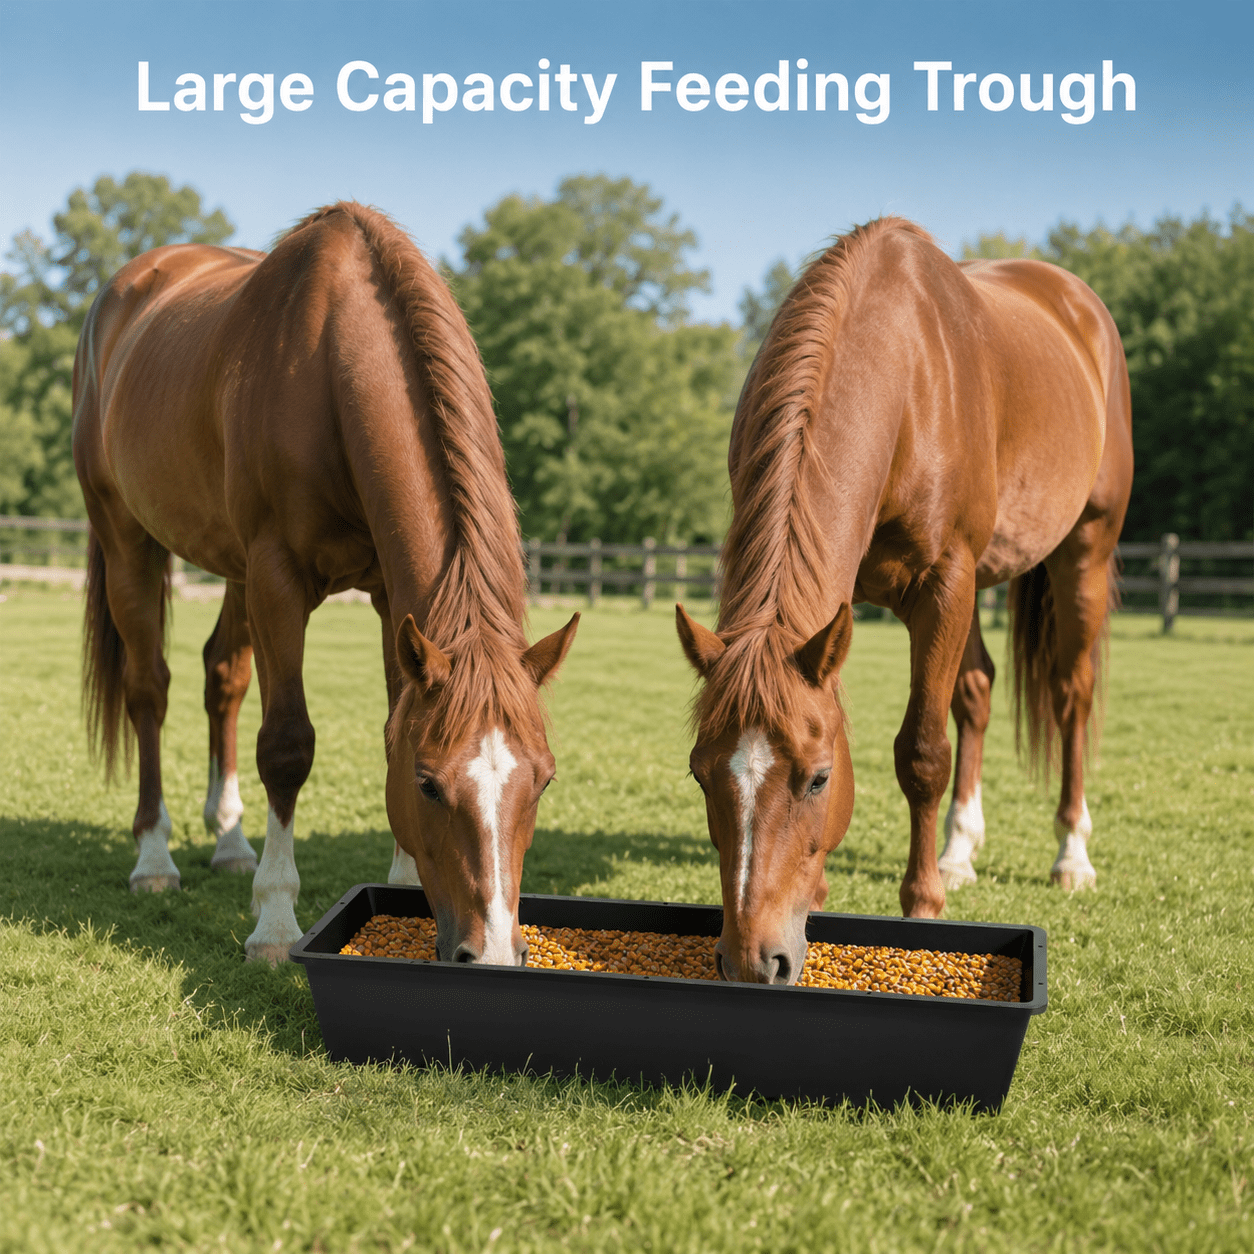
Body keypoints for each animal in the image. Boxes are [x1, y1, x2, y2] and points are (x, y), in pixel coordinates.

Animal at [72, 201, 579, 966]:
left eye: (543, 779)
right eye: (429, 785)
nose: (490, 954)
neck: (329, 365)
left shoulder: (392, 599)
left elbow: (391, 721)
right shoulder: (278, 576)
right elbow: (286, 745)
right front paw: (276, 922)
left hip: (233, 568)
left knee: (223, 678)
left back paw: (230, 842)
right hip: (127, 538)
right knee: (148, 690)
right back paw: (154, 857)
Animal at [676, 217, 1133, 984]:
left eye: (818, 780)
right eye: (700, 774)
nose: (752, 961)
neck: (906, 377)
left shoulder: (944, 581)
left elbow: (921, 752)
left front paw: (922, 904)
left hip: (1082, 554)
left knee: (1071, 693)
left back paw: (1071, 854)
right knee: (976, 689)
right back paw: (960, 850)